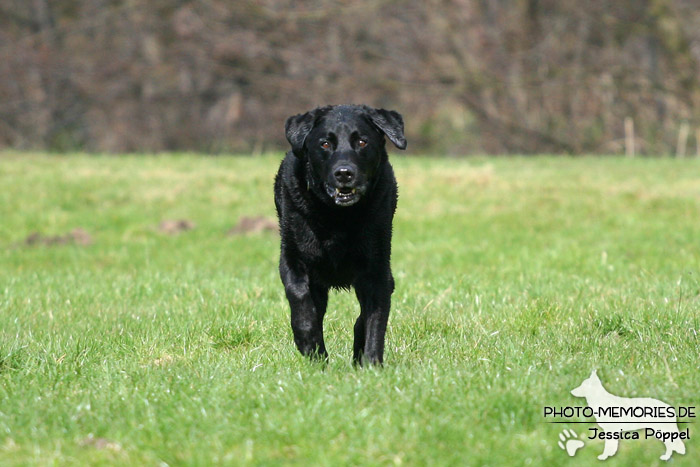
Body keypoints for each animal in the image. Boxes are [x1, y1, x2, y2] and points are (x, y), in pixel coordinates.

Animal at [272, 105, 404, 366]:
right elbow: (301, 301)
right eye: (325, 144)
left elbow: (375, 320)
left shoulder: (376, 269)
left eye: (362, 142)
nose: (344, 173)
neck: (338, 217)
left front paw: (372, 364)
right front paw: (308, 343)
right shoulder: (292, 259)